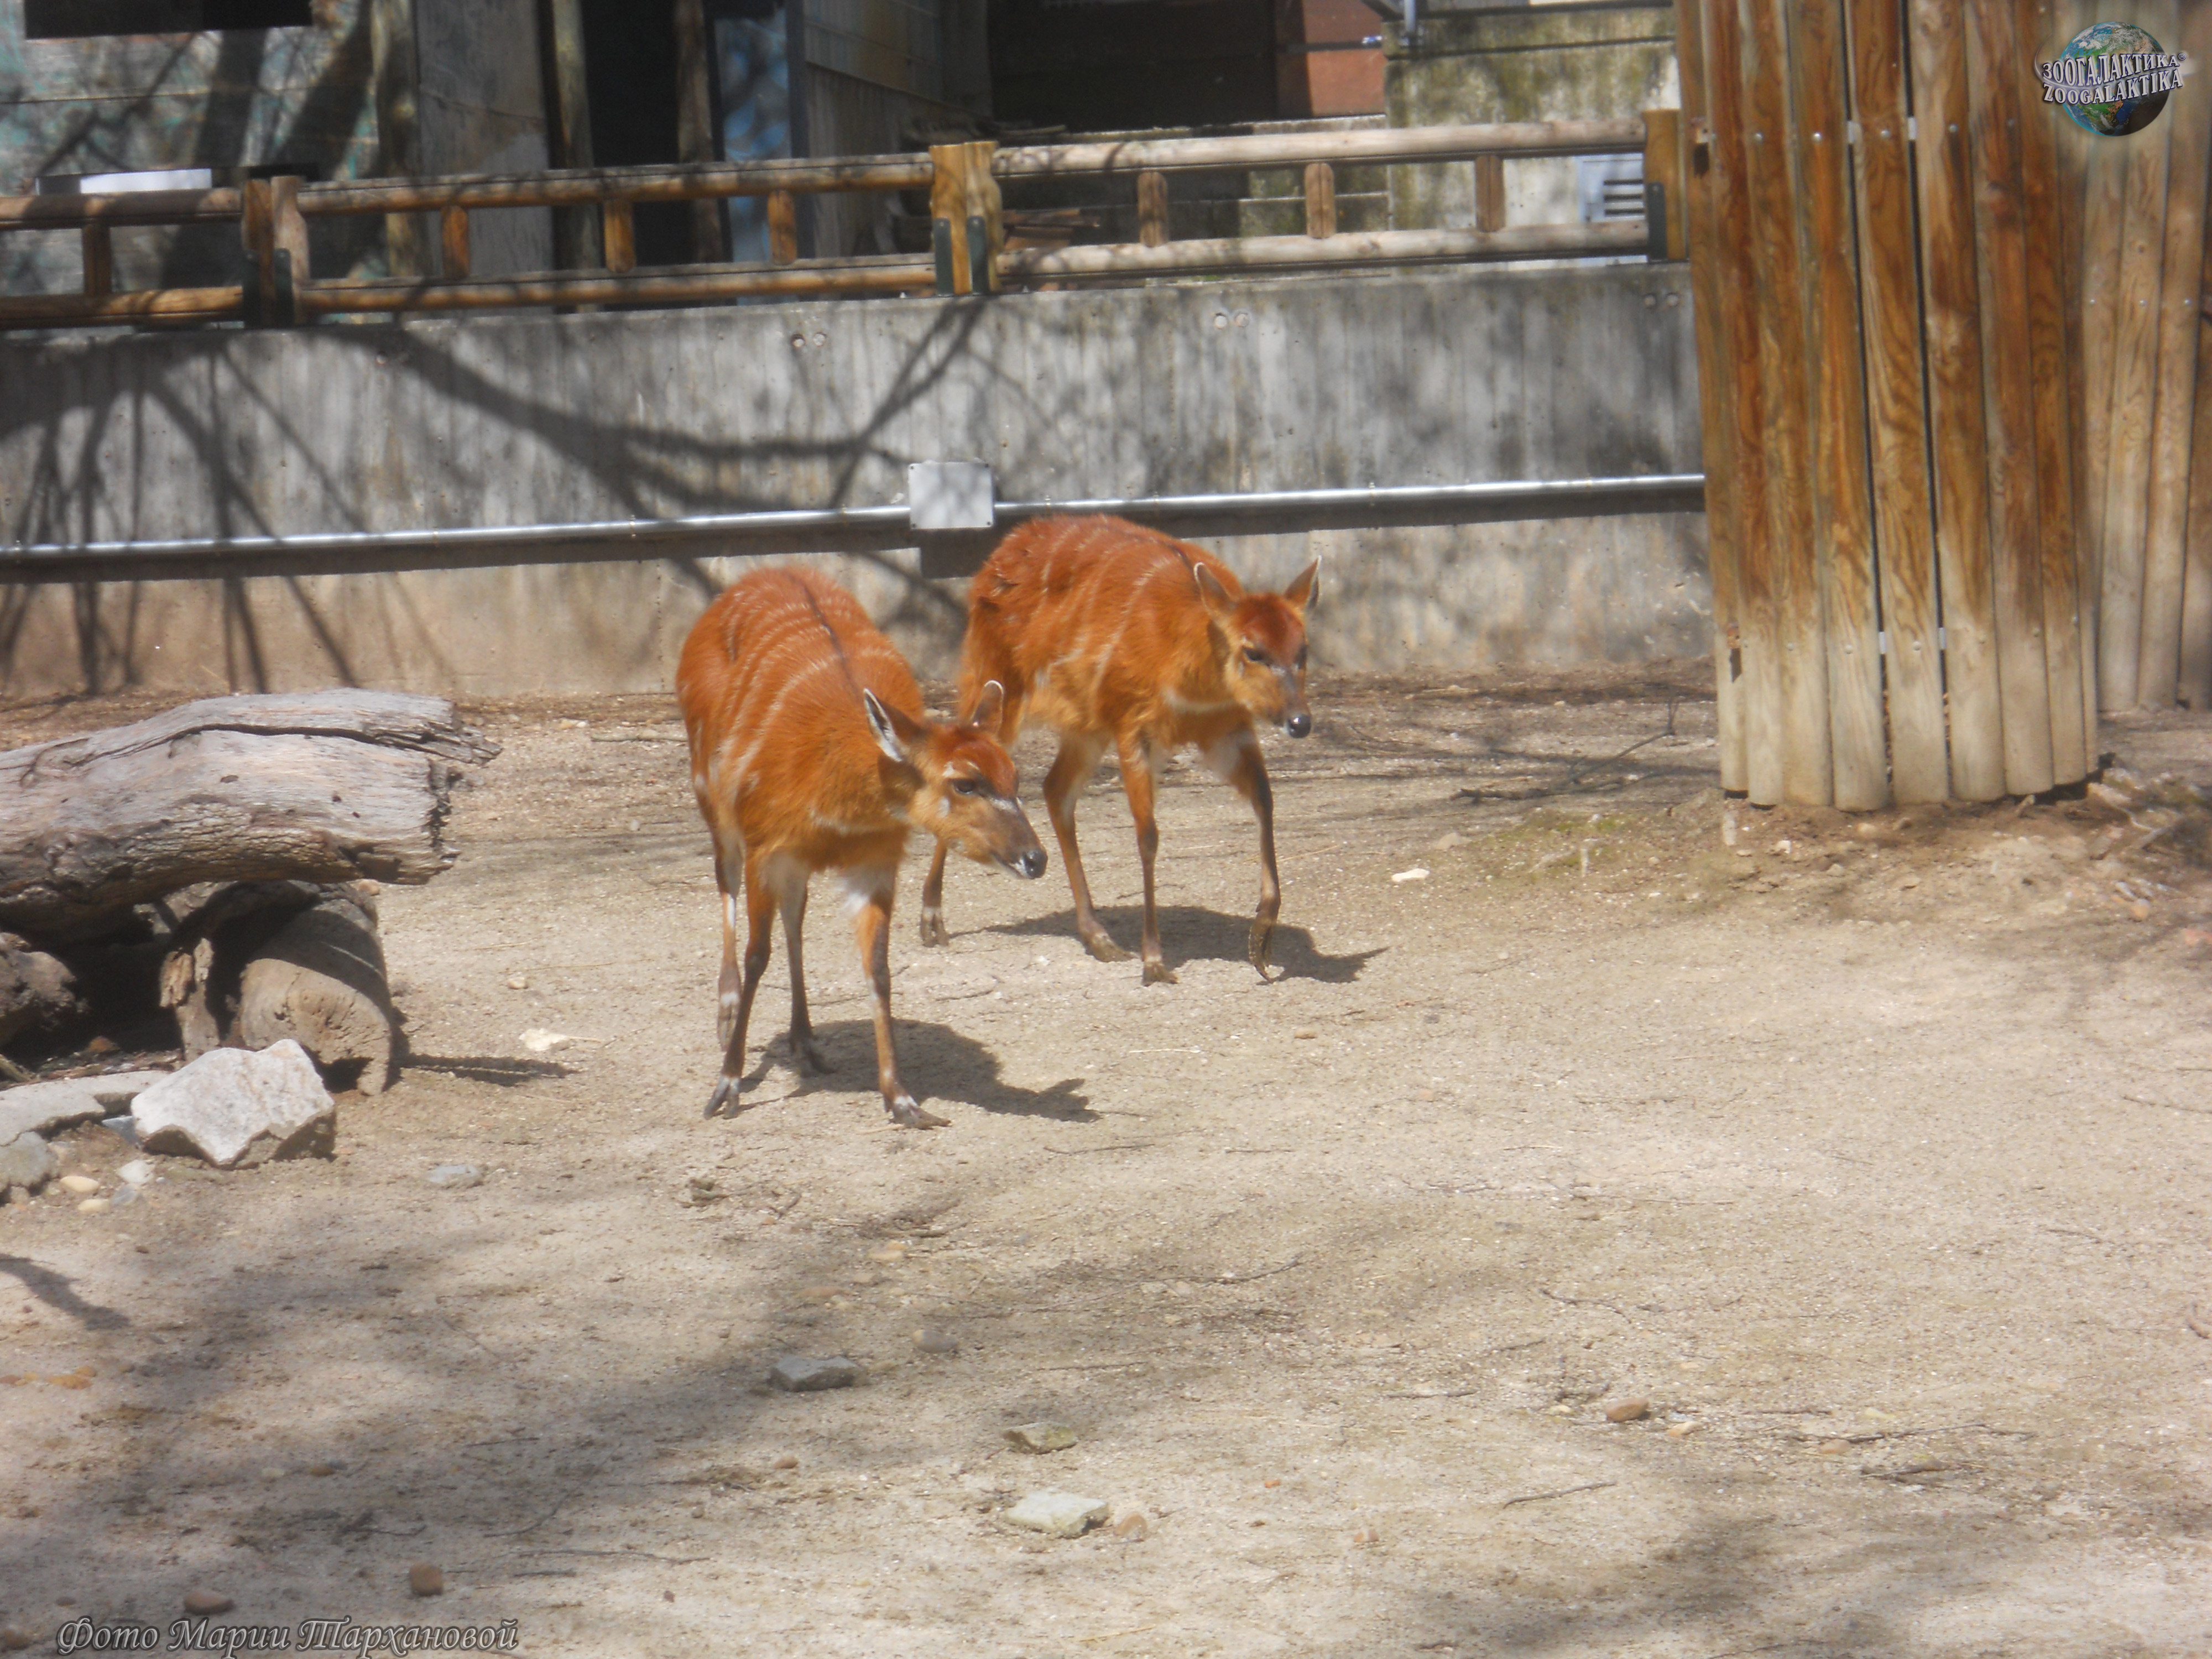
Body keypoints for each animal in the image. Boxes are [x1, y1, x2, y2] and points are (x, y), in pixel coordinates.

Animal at [676, 567, 1046, 1128]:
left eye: (1015, 777)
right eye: (965, 782)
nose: (1036, 859)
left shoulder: (872, 863)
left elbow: (878, 969)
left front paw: (904, 1101)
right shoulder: (766, 848)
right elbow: (757, 954)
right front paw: (727, 1087)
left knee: (796, 919)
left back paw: (806, 1042)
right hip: (715, 806)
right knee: (728, 887)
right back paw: (727, 1013)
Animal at [919, 515, 1318, 985]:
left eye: (1303, 649)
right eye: (1253, 651)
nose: (1300, 721)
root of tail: (998, 557)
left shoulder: (1226, 730)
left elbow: (1265, 799)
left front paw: (1262, 943)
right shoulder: (1135, 729)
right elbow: (1147, 836)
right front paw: (1154, 962)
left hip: (1086, 727)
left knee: (1056, 789)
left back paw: (1100, 939)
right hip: (998, 685)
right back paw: (932, 922)